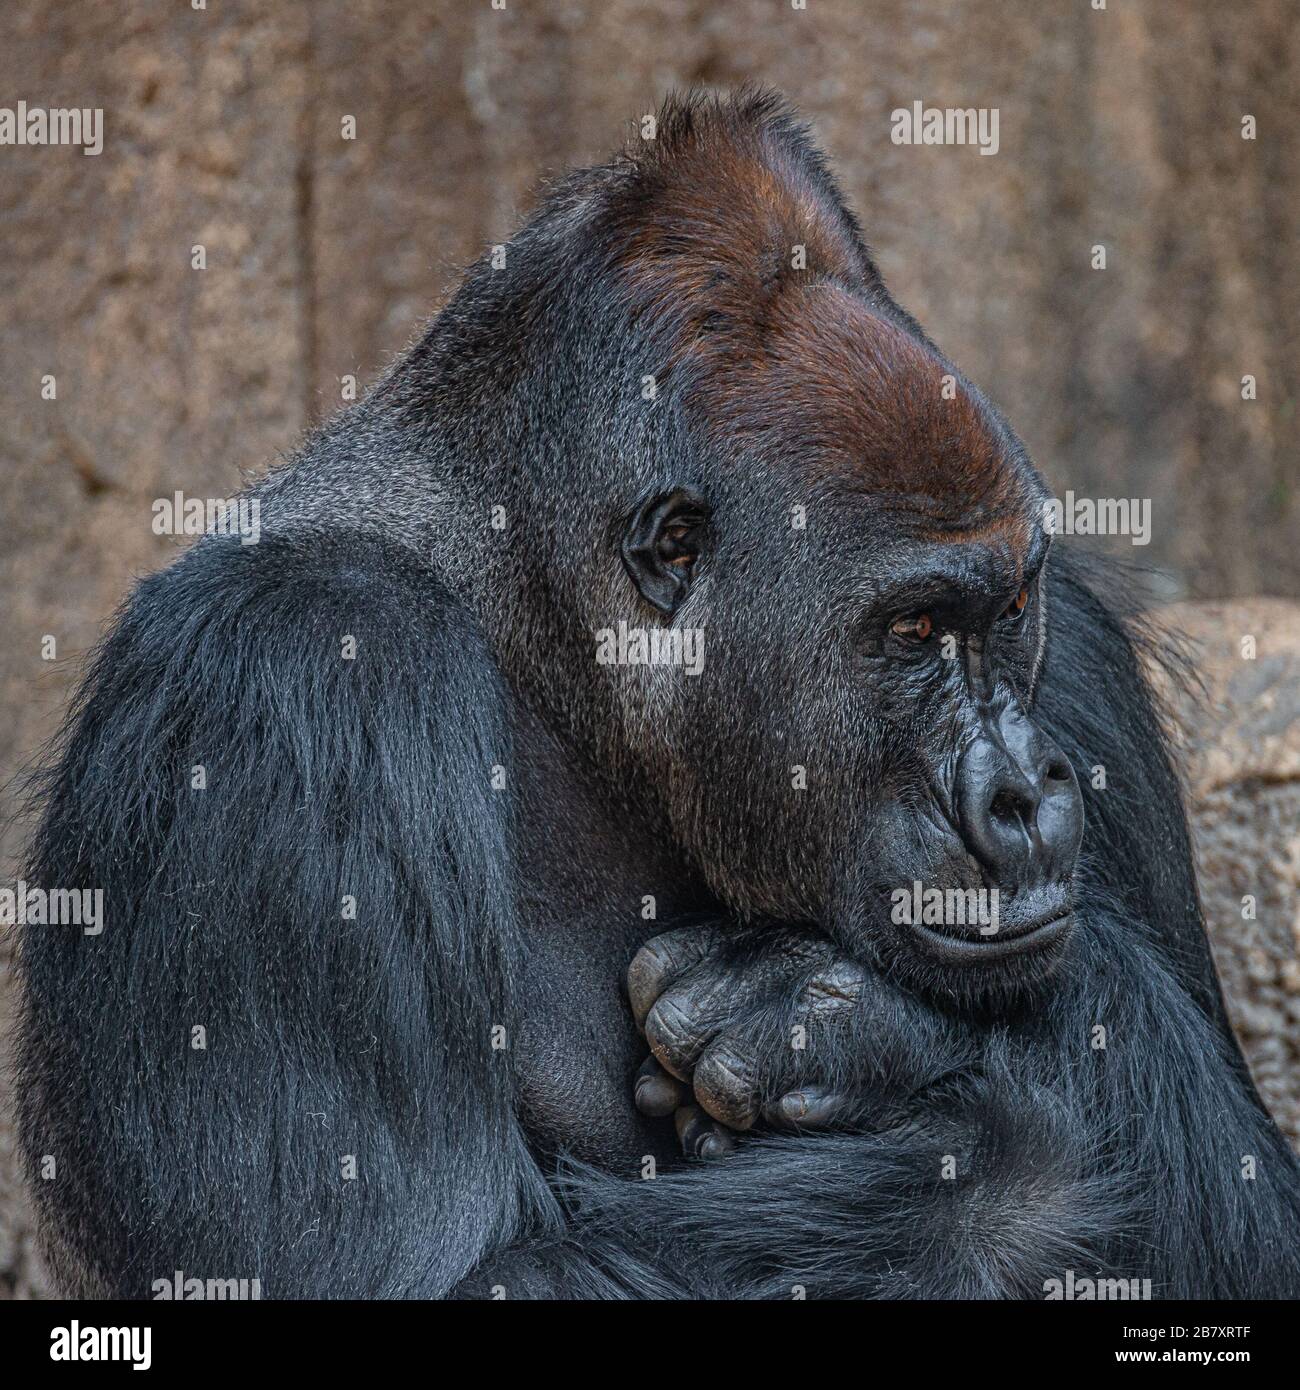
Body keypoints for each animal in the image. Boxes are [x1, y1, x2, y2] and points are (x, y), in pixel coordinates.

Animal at [12, 89, 1300, 1301]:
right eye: (913, 631)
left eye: (1001, 616)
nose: (1025, 793)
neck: (541, 631)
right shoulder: (292, 671)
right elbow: (428, 1271)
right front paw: (961, 1114)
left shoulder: (1068, 644)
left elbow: (1256, 1223)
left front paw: (843, 1020)